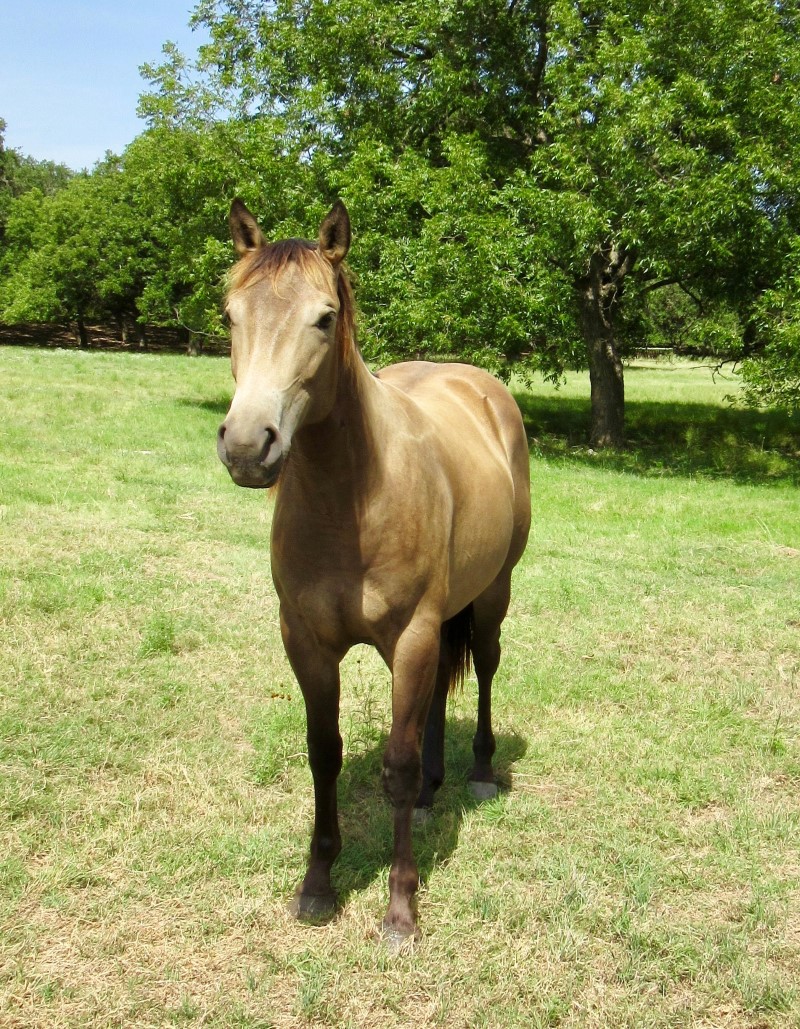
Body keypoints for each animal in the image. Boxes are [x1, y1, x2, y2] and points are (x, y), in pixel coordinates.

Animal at [218, 198, 531, 942]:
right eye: (229, 315)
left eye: (325, 317)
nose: (247, 445)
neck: (351, 499)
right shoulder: (305, 640)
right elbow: (324, 754)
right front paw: (317, 884)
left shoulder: (410, 637)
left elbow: (396, 762)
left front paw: (400, 908)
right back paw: (433, 790)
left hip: (493, 595)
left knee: (484, 669)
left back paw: (478, 770)